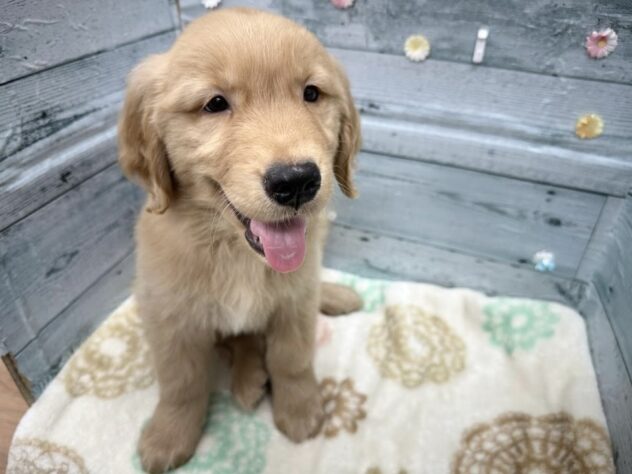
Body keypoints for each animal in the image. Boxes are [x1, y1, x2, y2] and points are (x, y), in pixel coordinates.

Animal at [118, 7, 362, 473]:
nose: (297, 181)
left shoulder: (294, 300)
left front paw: (300, 408)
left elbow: (292, 358)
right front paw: (169, 435)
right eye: (215, 104)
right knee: (242, 339)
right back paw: (248, 377)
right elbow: (181, 381)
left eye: (311, 93)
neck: (235, 251)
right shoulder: (169, 316)